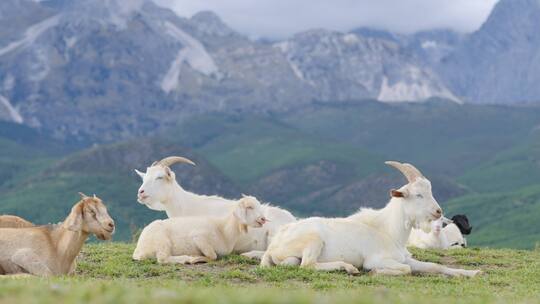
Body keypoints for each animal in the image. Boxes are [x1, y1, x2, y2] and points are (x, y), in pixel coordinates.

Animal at [133, 195, 268, 264]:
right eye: (249, 207)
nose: (263, 219)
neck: (223, 230)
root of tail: (139, 250)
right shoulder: (199, 237)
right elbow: (213, 256)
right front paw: (197, 258)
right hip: (161, 241)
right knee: (162, 259)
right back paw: (186, 258)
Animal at [260, 162, 480, 278]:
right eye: (418, 195)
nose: (438, 211)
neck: (389, 231)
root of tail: (274, 245)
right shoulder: (377, 258)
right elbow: (406, 269)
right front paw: (375, 272)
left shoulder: (405, 257)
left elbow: (435, 266)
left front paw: (472, 272)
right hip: (313, 240)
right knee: (307, 265)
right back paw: (348, 267)